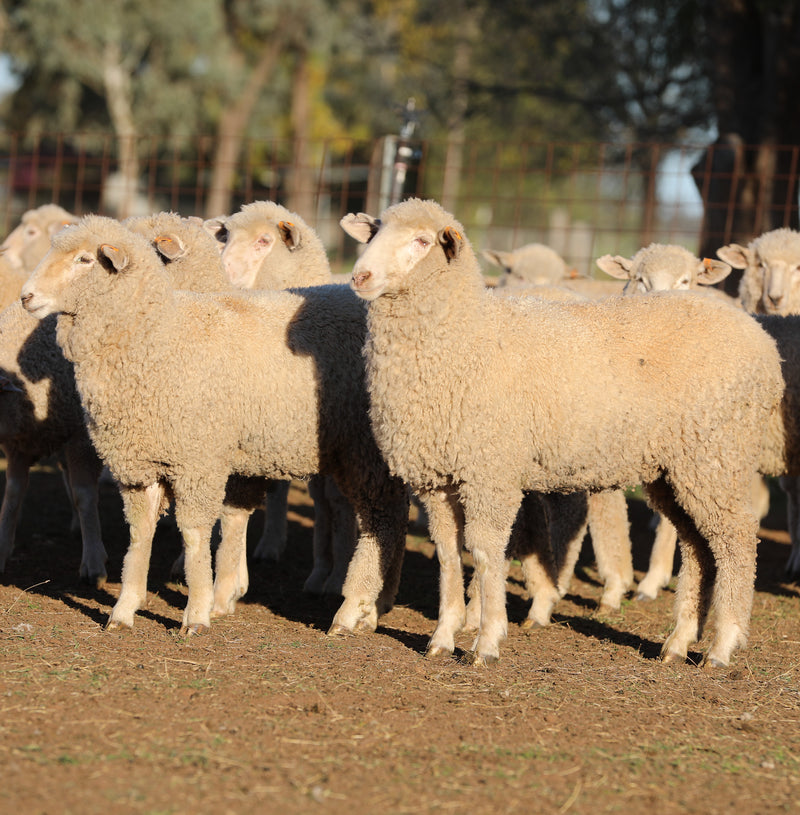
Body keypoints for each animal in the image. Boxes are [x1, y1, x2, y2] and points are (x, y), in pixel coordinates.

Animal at [21, 215, 409, 636]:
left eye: (85, 259)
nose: (25, 296)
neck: (160, 337)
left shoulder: (199, 461)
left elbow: (195, 536)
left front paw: (197, 612)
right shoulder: (140, 466)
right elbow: (140, 535)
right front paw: (125, 608)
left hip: (363, 450)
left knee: (381, 520)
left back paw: (352, 609)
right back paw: (375, 606)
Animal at [341, 197, 783, 668]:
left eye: (423, 241)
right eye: (374, 232)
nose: (360, 277)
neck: (468, 336)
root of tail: (764, 344)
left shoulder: (490, 472)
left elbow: (485, 550)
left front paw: (487, 641)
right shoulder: (436, 478)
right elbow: (447, 552)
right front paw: (442, 636)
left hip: (717, 454)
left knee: (736, 539)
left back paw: (723, 644)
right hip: (679, 467)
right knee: (699, 546)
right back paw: (679, 641)